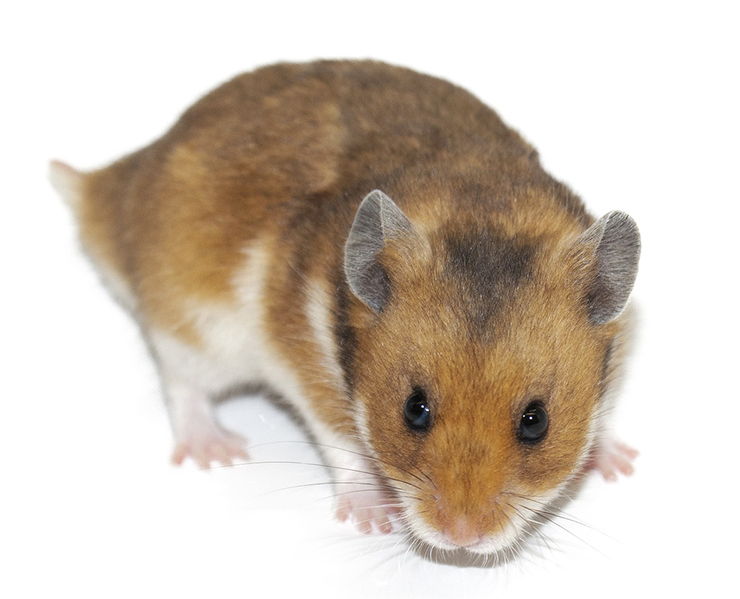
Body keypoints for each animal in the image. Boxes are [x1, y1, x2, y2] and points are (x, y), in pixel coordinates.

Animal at [51, 60, 640, 555]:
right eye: (414, 410)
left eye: (536, 422)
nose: (460, 537)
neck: (477, 201)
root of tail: (114, 186)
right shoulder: (307, 364)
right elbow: (342, 442)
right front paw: (373, 521)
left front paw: (621, 465)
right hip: (192, 327)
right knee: (181, 386)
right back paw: (218, 452)